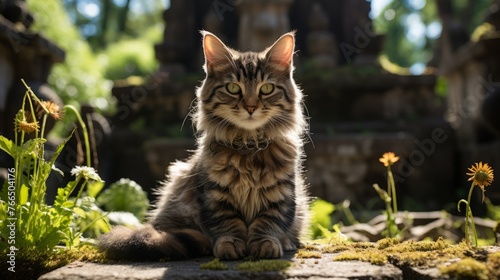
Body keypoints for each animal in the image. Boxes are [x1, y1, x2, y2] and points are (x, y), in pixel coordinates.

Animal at [97, 30, 308, 260]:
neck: (248, 145)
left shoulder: (281, 193)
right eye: (233, 88)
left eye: (267, 89)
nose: (251, 107)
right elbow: (228, 223)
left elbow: (269, 221)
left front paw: (265, 243)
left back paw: (288, 242)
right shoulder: (215, 194)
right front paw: (229, 245)